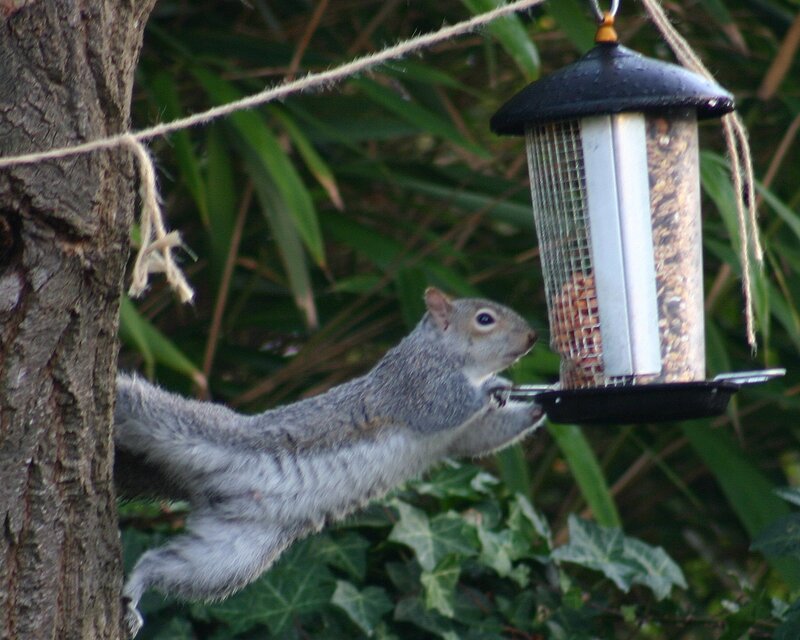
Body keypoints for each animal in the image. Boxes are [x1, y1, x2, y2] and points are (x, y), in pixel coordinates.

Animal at [115, 287, 544, 637]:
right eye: (485, 319)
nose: (533, 337)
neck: (448, 356)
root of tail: (207, 492)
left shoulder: (460, 436)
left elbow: (479, 437)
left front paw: (540, 404)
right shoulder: (414, 386)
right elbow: (444, 407)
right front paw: (495, 386)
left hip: (229, 556)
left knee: (163, 562)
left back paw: (135, 590)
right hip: (184, 429)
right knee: (139, 405)